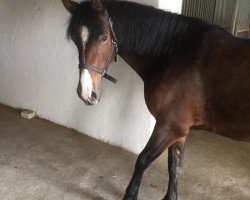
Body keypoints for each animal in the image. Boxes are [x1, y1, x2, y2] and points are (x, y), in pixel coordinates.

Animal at [61, 0, 250, 199]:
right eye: (75, 39)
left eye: (104, 38)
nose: (85, 92)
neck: (177, 54)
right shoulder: (180, 131)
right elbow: (175, 166)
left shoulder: (170, 126)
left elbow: (143, 160)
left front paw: (131, 194)